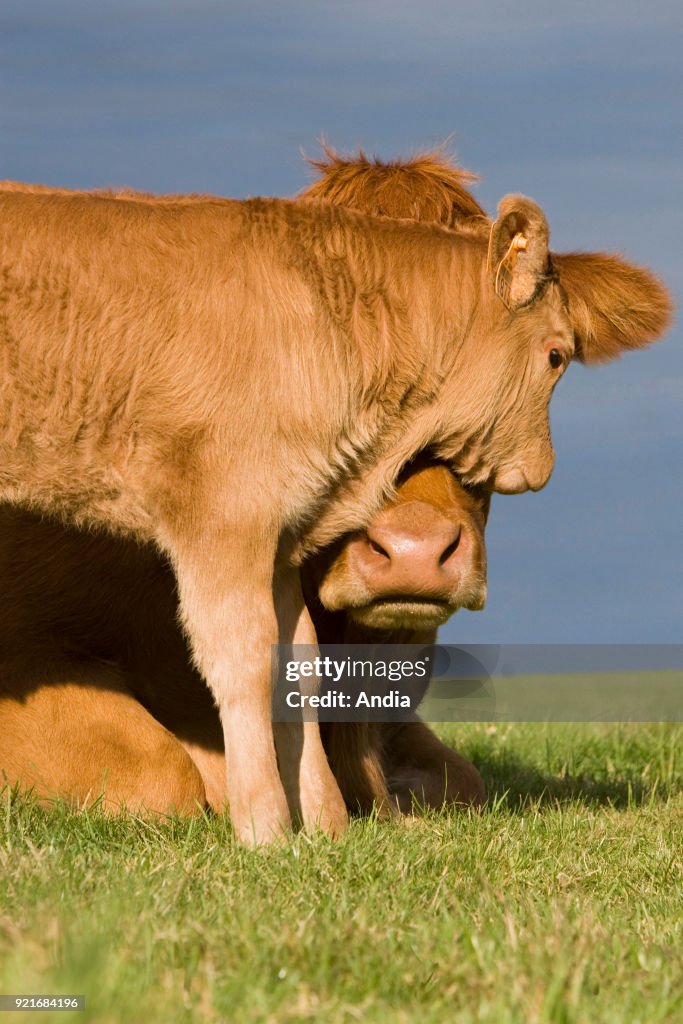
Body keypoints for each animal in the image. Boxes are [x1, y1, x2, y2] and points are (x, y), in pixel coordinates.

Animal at [0, 155, 671, 843]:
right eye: (557, 355)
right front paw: (266, 830)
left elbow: (298, 661)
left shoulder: (282, 530)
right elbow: (240, 662)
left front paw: (325, 827)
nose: (540, 466)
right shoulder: (223, 515)